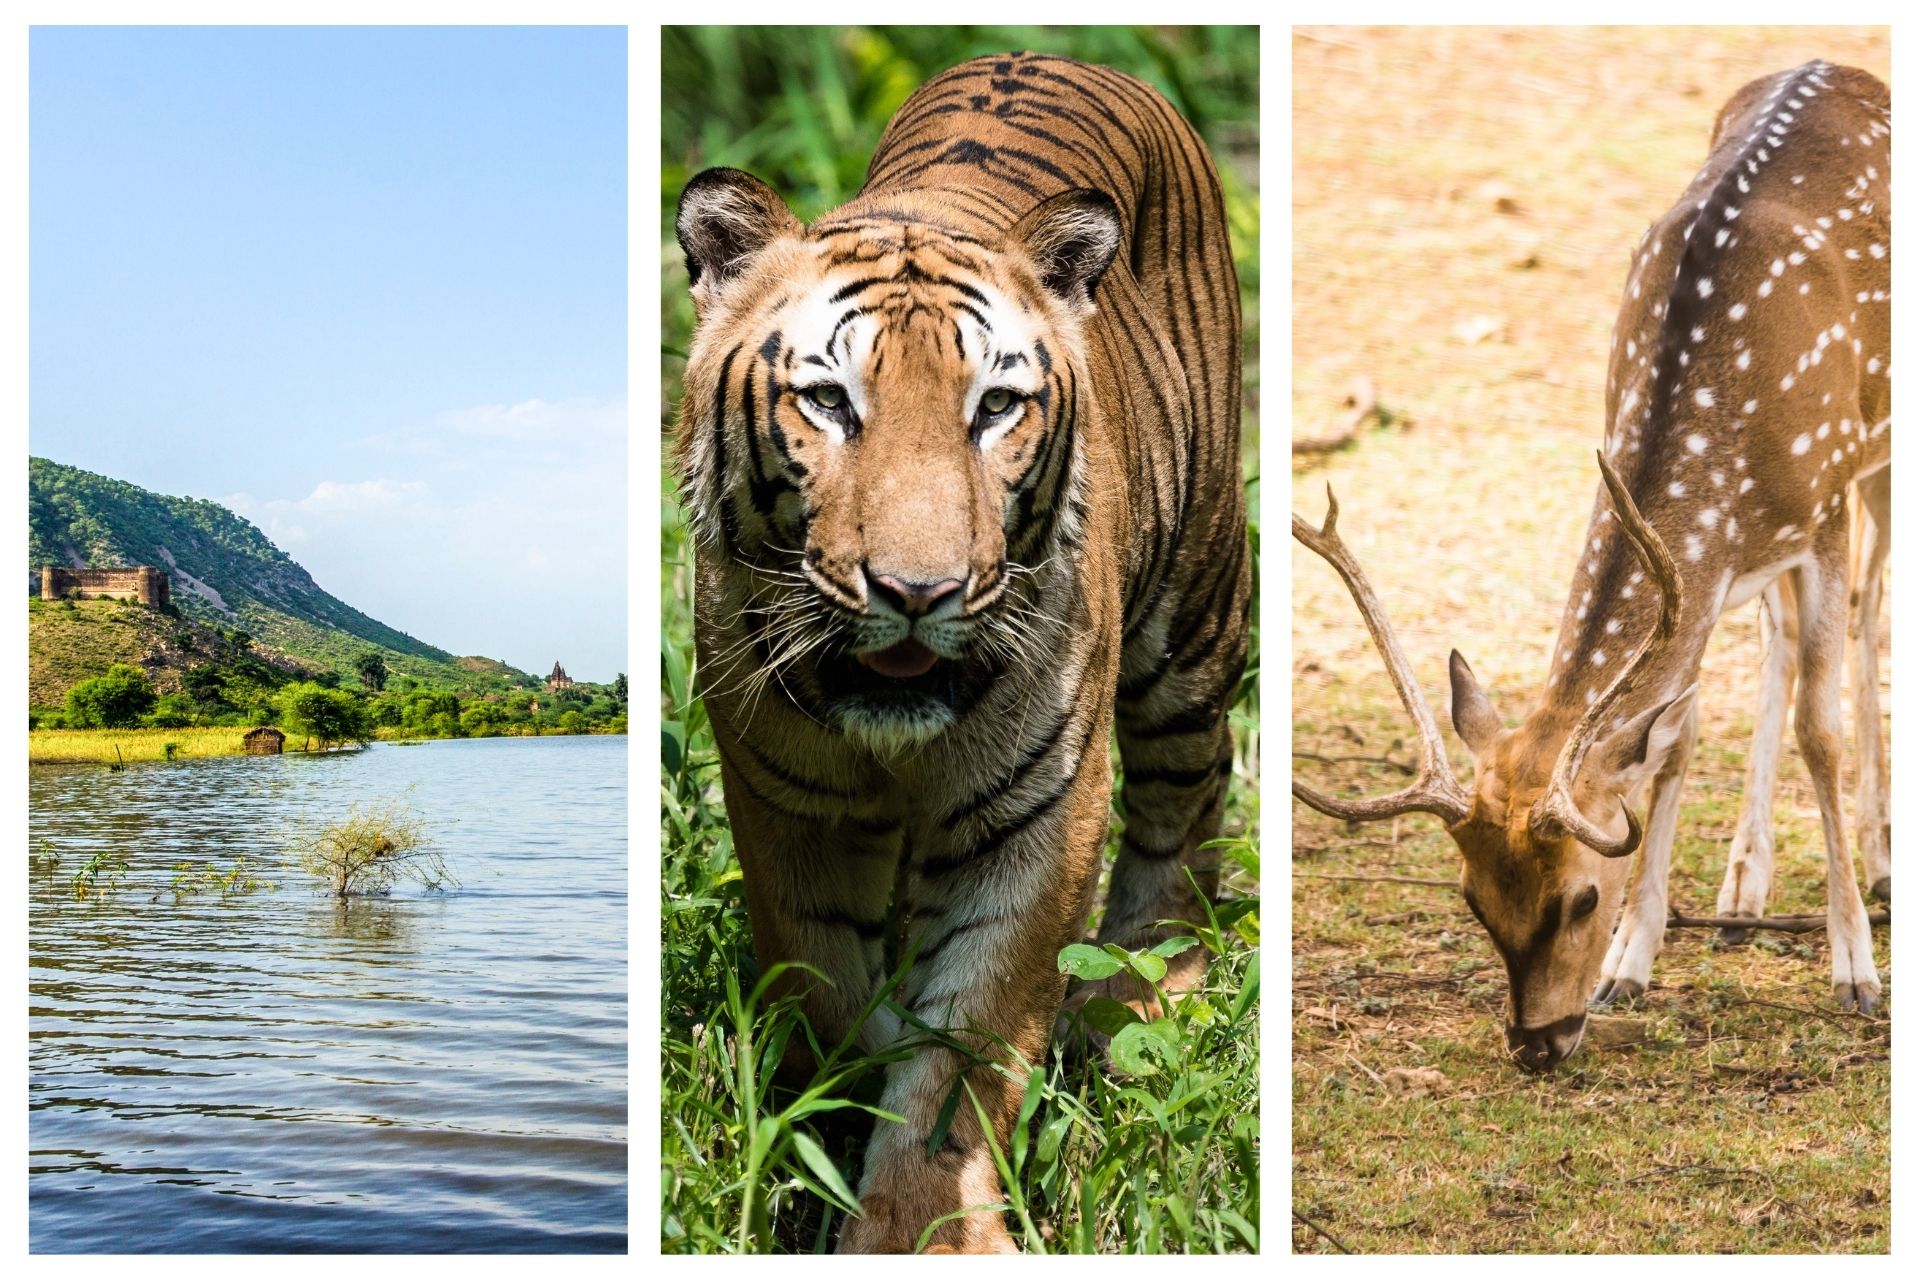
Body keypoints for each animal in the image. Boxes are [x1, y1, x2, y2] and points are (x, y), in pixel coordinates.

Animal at [672, 50, 1244, 1251]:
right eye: (828, 400)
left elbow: (967, 1042)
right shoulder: (785, 803)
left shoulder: (1036, 813)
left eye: (996, 407)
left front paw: (922, 1225)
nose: (917, 591)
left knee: (1189, 798)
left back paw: (1141, 993)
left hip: (1194, 624)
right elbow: (838, 989)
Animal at [1290, 62, 1889, 1074]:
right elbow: (1676, 738)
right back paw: (1743, 891)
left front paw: (1856, 972)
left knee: (1871, 604)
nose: (1535, 1042)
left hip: (1873, 459)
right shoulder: (1715, 567)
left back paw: (1882, 866)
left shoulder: (1823, 505)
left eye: (1576, 897)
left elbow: (1821, 728)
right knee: (1777, 639)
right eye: (1472, 899)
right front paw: (1632, 964)